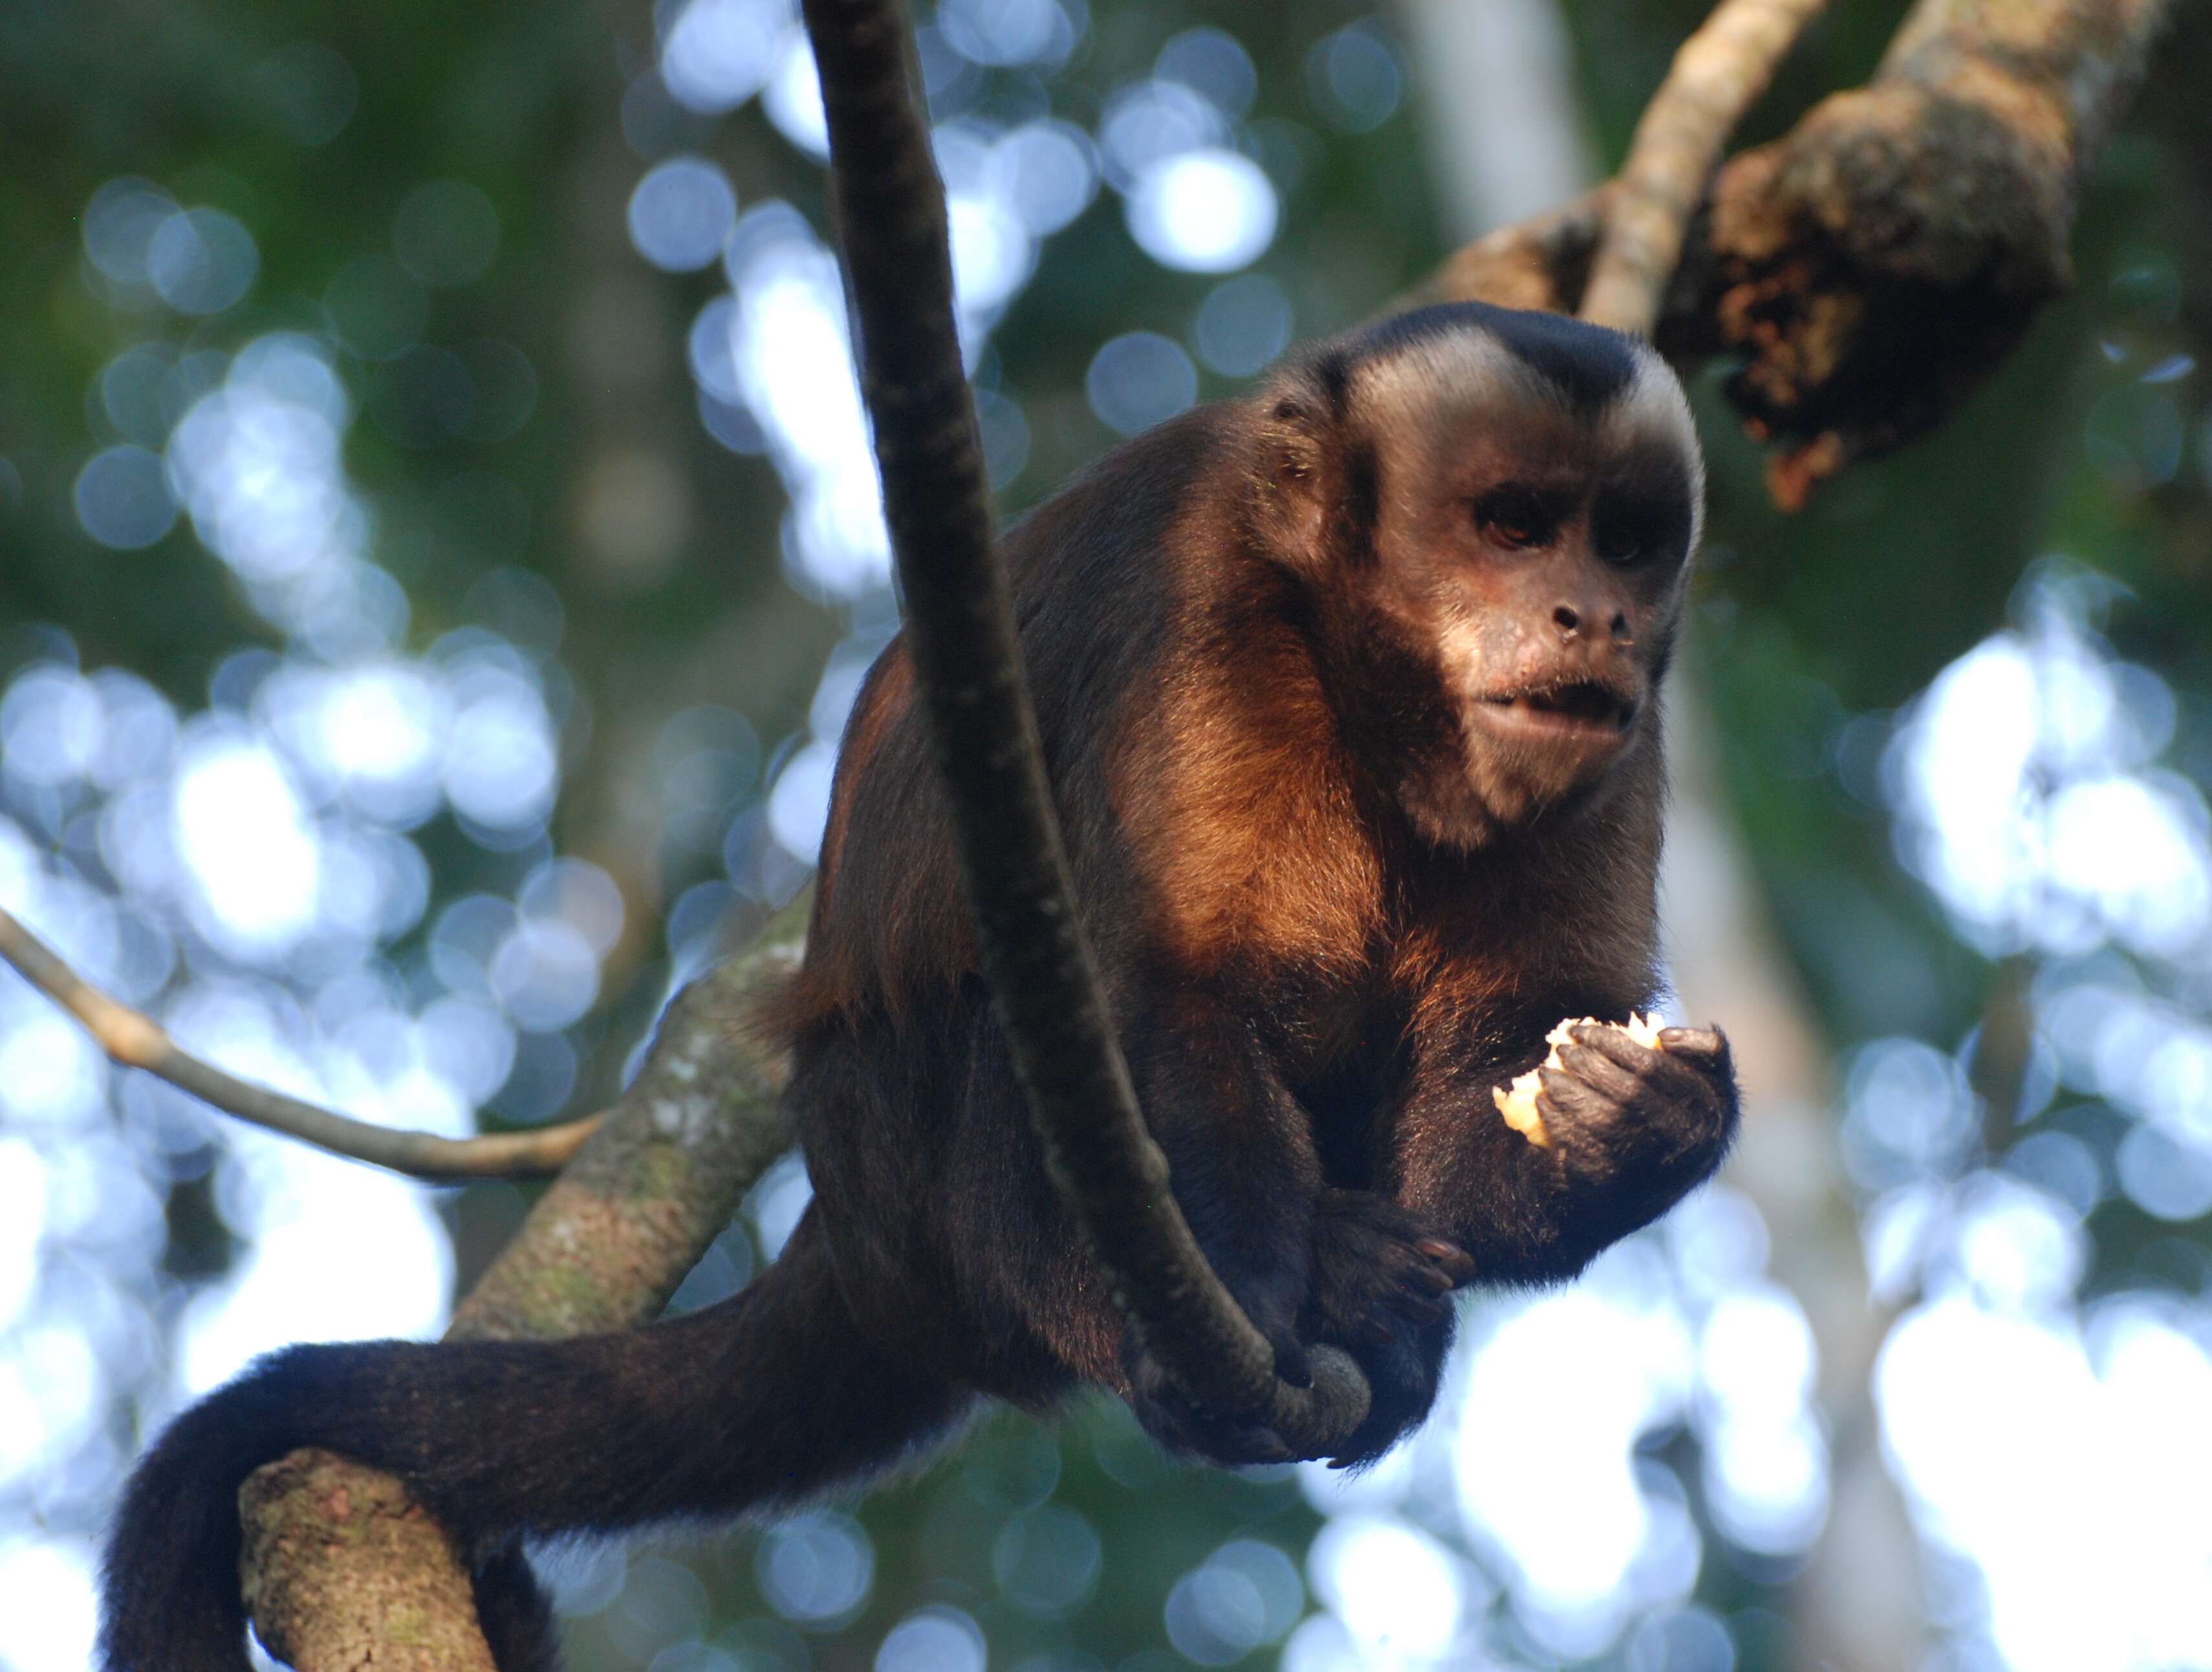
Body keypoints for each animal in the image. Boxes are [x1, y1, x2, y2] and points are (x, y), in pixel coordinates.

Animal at [107, 303, 1742, 1672]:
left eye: (1624, 543)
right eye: (1513, 526)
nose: (1591, 618)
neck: (1359, 674)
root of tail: (855, 1240)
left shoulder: (1631, 727)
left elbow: (1485, 1113)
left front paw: (1629, 1122)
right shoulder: (1198, 609)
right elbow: (1182, 991)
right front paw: (1274, 1295)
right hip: (918, 1187)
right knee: (1002, 1016)